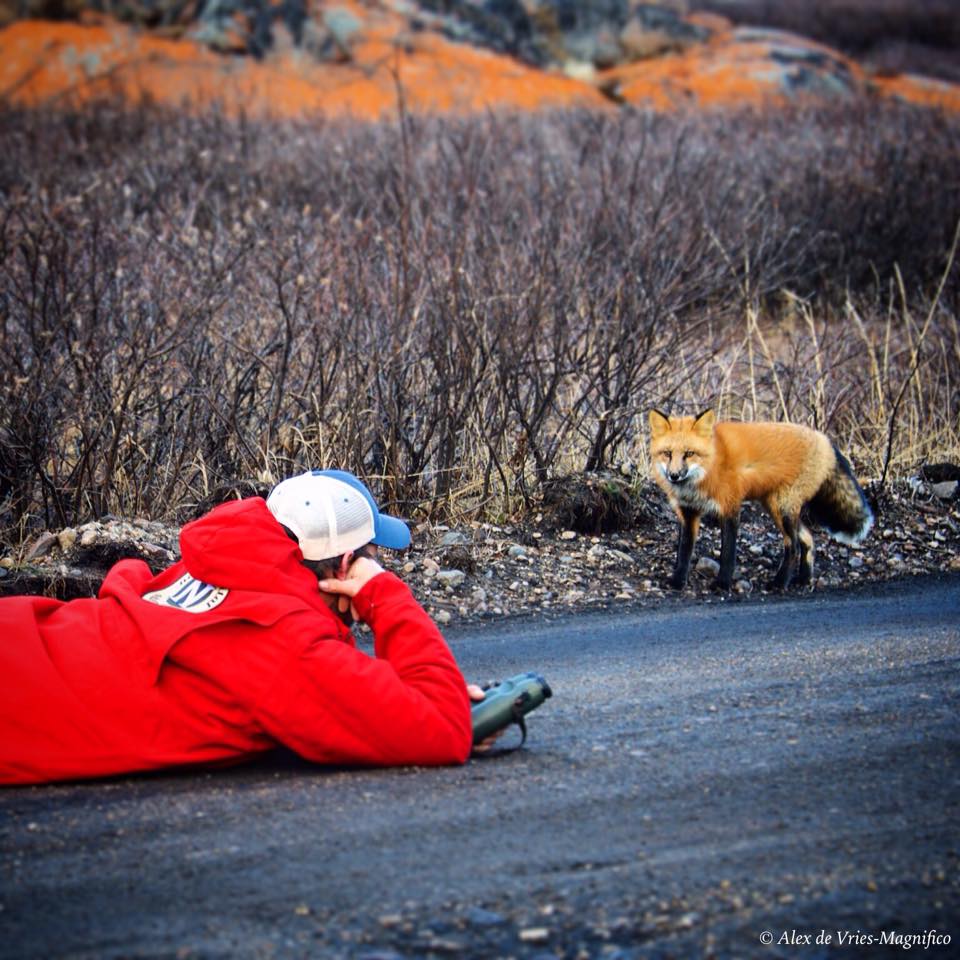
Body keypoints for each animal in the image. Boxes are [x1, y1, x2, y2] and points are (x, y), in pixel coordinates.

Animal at [648, 409, 874, 591]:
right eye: (667, 453)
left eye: (689, 454)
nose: (674, 475)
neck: (708, 469)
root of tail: (824, 439)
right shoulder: (688, 512)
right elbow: (684, 552)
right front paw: (678, 581)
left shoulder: (730, 507)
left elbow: (728, 553)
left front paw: (722, 584)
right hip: (775, 507)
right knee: (809, 539)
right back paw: (803, 580)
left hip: (782, 509)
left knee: (793, 546)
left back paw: (779, 583)